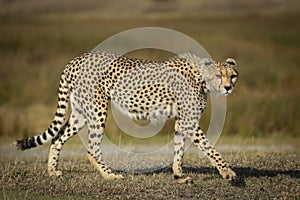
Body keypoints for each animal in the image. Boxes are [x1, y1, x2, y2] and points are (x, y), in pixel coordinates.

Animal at [13, 51, 239, 183]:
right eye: (219, 75)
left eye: (233, 75)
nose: (228, 87)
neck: (202, 79)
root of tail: (75, 60)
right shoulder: (190, 122)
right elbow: (210, 148)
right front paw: (228, 173)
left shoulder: (182, 121)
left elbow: (179, 149)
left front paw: (179, 175)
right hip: (98, 110)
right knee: (92, 149)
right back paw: (110, 175)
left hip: (81, 113)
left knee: (58, 138)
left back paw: (52, 171)